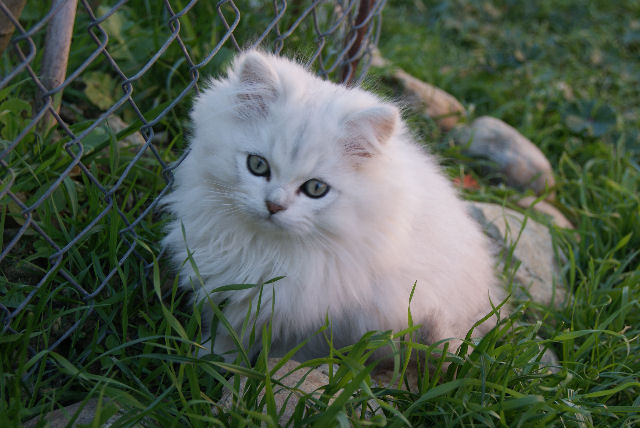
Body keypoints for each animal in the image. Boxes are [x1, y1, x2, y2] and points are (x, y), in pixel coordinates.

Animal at [161, 48, 500, 360]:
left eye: (315, 189)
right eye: (257, 165)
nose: (274, 205)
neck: (264, 250)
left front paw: (223, 362)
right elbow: (223, 332)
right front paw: (207, 357)